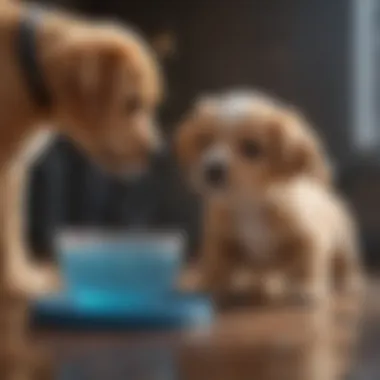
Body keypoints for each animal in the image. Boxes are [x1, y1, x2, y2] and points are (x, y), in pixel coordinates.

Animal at [174, 90, 362, 306]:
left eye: (251, 148)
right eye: (204, 142)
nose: (212, 170)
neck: (248, 203)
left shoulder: (309, 240)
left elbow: (308, 265)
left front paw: (306, 290)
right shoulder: (221, 240)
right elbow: (216, 265)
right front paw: (209, 286)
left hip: (344, 243)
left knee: (344, 265)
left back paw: (348, 284)